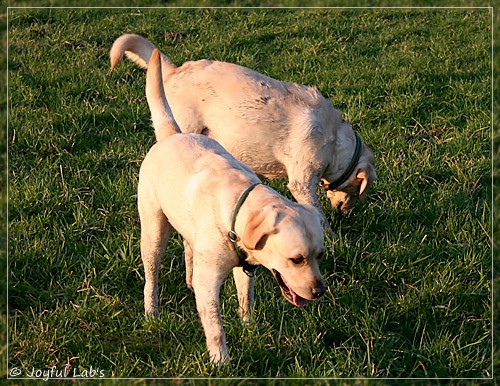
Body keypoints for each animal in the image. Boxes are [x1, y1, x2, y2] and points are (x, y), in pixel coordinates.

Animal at [109, 34, 376, 235]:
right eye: (357, 192)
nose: (345, 212)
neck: (334, 139)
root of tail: (176, 71)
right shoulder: (301, 183)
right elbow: (318, 216)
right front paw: (331, 236)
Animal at [137, 49, 324, 364]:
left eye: (319, 255)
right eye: (296, 259)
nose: (320, 290)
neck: (238, 208)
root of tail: (173, 133)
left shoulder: (246, 268)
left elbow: (245, 299)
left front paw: (249, 327)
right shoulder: (209, 283)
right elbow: (214, 326)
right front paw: (220, 361)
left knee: (188, 248)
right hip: (152, 231)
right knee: (152, 275)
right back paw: (151, 312)